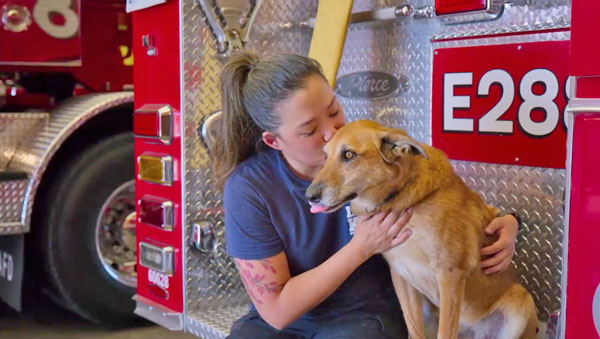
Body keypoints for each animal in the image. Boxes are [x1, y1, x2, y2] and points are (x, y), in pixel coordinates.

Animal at [308, 121, 536, 338]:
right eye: (325, 156)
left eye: (349, 155)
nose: (309, 196)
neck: (402, 199)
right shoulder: (401, 276)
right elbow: (414, 328)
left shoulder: (450, 275)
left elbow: (445, 332)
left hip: (521, 300)